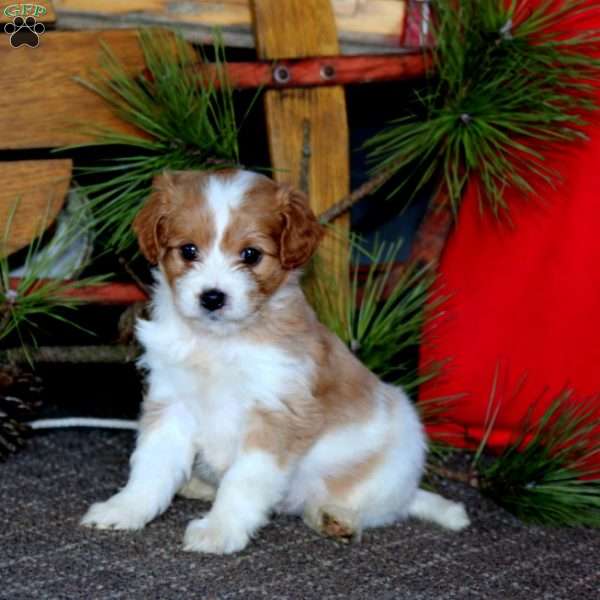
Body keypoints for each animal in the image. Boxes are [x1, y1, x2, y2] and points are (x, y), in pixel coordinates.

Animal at [82, 169, 472, 552]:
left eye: (251, 254)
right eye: (189, 250)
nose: (212, 297)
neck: (220, 342)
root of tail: (409, 491)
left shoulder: (276, 414)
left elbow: (243, 480)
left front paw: (220, 530)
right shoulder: (171, 401)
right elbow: (151, 465)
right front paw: (126, 508)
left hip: (398, 445)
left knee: (370, 507)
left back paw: (336, 516)